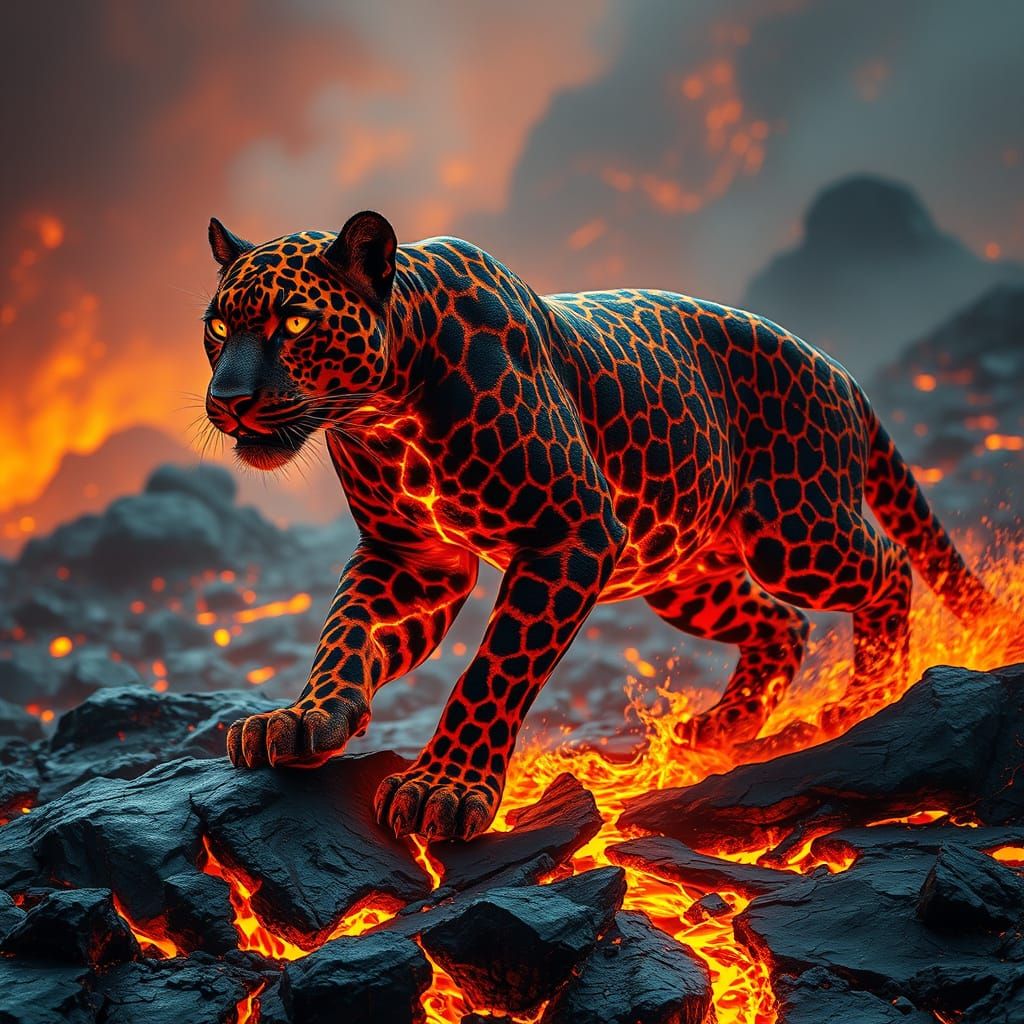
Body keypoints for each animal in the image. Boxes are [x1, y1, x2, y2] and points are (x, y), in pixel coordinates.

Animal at [203, 210, 1001, 841]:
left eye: (295, 322)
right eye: (216, 327)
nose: (227, 399)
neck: (381, 412)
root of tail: (841, 371)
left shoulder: (571, 532)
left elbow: (494, 668)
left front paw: (446, 787)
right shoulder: (413, 557)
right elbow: (346, 632)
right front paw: (304, 717)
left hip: (795, 530)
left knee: (886, 567)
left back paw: (865, 699)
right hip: (684, 575)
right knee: (783, 624)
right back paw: (722, 727)